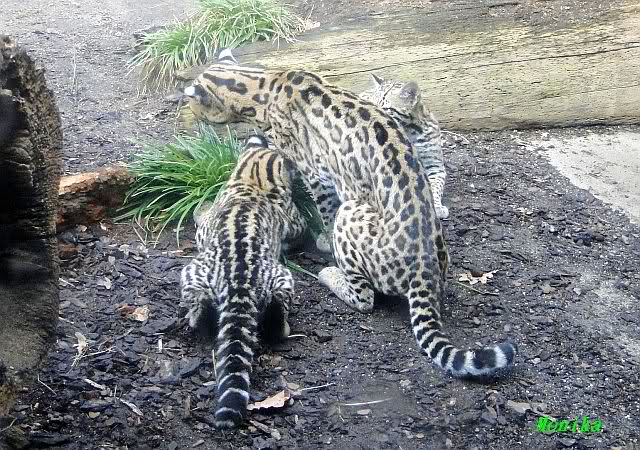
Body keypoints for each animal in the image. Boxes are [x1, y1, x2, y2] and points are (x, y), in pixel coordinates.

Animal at [180, 134, 306, 428]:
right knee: (277, 313)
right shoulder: (295, 222)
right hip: (283, 276)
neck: (253, 178)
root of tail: (238, 280)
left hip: (193, 271)